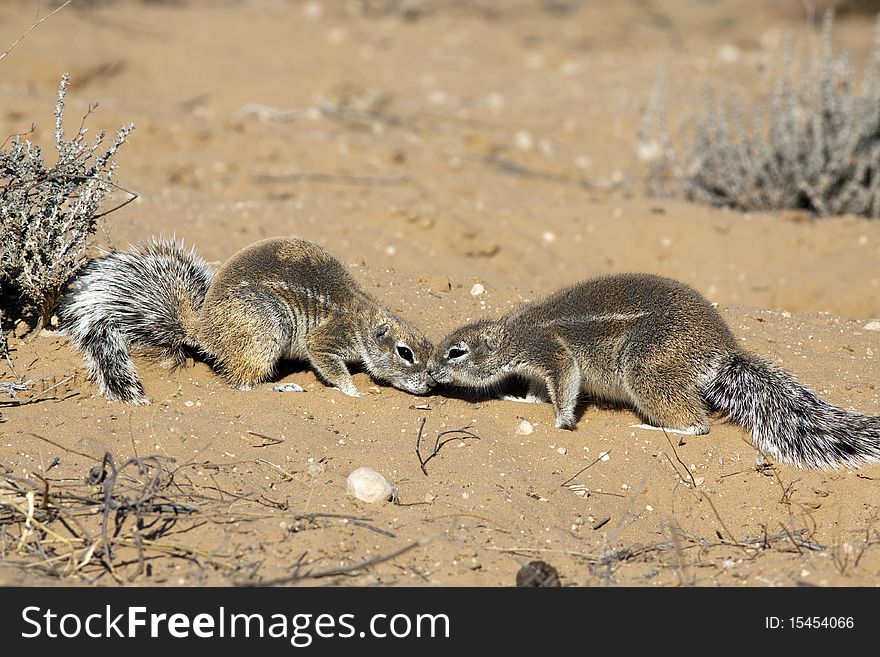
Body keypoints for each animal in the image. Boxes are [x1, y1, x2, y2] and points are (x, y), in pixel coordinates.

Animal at [58, 233, 434, 402]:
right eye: (405, 353)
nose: (430, 386)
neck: (363, 319)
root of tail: (205, 332)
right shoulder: (326, 340)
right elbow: (329, 364)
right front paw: (352, 390)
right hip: (267, 327)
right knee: (244, 382)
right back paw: (283, 385)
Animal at [430, 274, 880, 468]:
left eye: (455, 352)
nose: (431, 372)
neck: (511, 335)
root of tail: (724, 352)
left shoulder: (549, 351)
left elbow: (566, 382)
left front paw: (561, 421)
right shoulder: (539, 367)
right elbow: (542, 389)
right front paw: (521, 398)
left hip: (644, 367)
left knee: (697, 424)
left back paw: (650, 426)